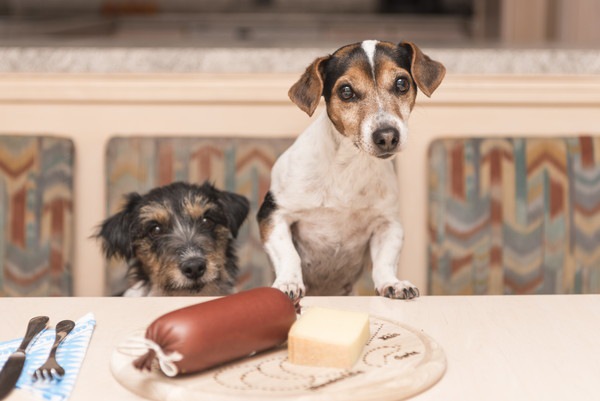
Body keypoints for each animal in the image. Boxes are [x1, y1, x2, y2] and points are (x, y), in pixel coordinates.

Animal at [258, 39, 446, 300]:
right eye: (346, 91)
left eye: (402, 83)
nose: (387, 136)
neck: (350, 166)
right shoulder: (274, 215)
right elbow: (289, 255)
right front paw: (288, 283)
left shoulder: (388, 225)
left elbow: (384, 263)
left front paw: (393, 283)